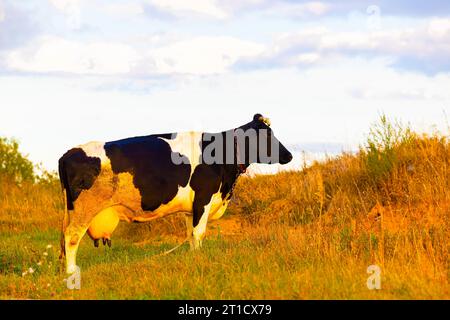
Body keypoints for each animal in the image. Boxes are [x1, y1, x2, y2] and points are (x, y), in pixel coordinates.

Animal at [58, 114, 294, 274]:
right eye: (267, 136)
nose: (290, 155)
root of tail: (68, 153)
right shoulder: (204, 198)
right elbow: (199, 233)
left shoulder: (192, 209)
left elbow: (191, 235)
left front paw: (194, 258)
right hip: (84, 210)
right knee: (71, 238)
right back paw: (71, 272)